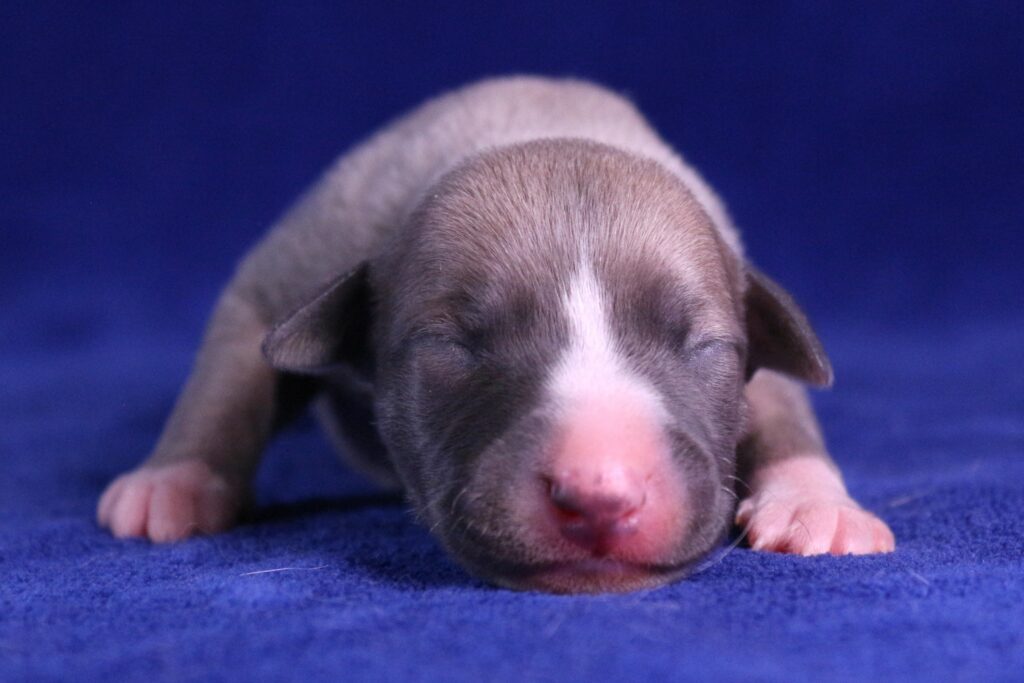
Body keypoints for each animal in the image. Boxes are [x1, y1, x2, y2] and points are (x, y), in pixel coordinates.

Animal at [97, 76, 894, 593]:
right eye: (453, 345)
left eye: (702, 347)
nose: (601, 494)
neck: (538, 127)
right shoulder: (298, 259)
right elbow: (233, 372)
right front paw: (174, 482)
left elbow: (782, 399)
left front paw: (817, 504)